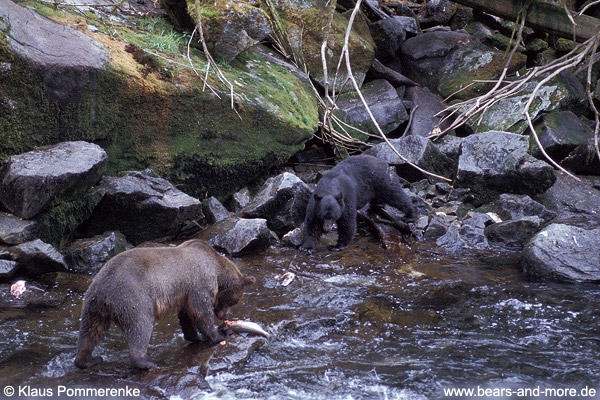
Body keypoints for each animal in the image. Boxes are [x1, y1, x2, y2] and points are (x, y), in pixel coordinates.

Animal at [74, 239, 254, 370]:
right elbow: (201, 311)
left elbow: (187, 316)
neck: (216, 268)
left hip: (93, 304)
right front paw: (220, 334)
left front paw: (195, 337)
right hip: (133, 297)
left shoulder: (185, 293)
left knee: (90, 331)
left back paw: (88, 360)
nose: (224, 316)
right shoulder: (200, 281)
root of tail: (104, 289)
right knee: (140, 327)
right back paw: (148, 362)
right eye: (233, 300)